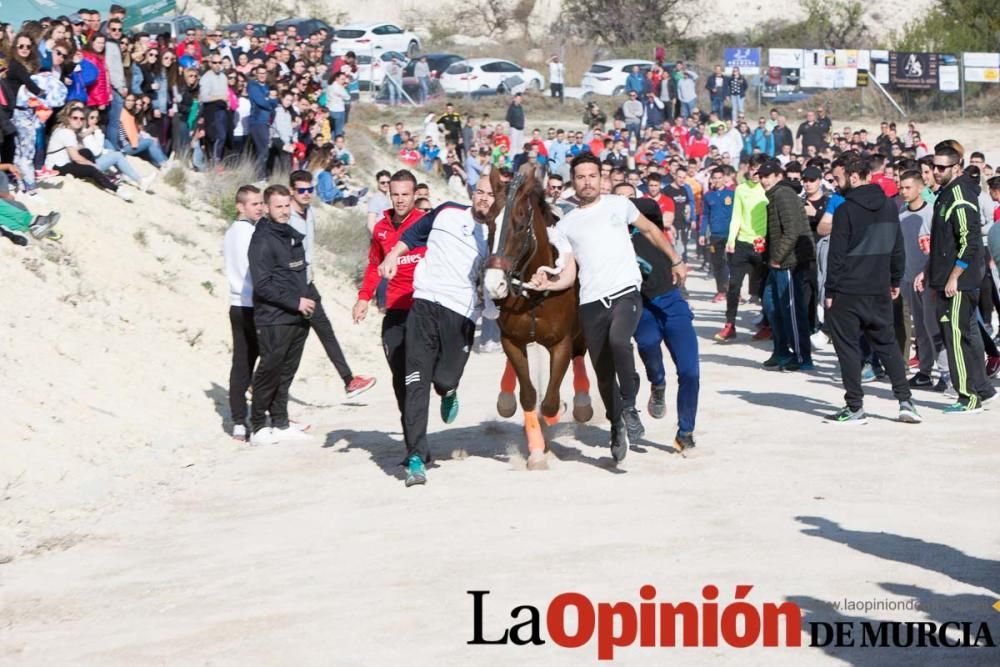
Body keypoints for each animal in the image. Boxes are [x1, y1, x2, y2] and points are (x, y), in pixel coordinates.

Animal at [480, 170, 588, 470]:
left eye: (518, 226)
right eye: (489, 223)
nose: (494, 284)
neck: (535, 294)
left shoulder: (561, 342)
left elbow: (551, 401)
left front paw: (556, 413)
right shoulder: (511, 340)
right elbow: (528, 395)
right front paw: (537, 450)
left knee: (580, 353)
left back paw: (582, 404)